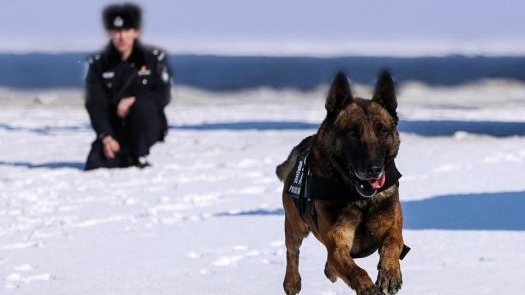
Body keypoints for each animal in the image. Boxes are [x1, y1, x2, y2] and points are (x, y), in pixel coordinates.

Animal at [276, 71, 408, 295]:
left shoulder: (393, 227)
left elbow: (392, 242)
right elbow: (354, 269)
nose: (374, 169)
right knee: (292, 251)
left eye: (382, 130)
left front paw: (390, 273)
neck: (359, 197)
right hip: (295, 226)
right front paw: (366, 286)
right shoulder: (337, 244)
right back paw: (292, 281)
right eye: (352, 132)